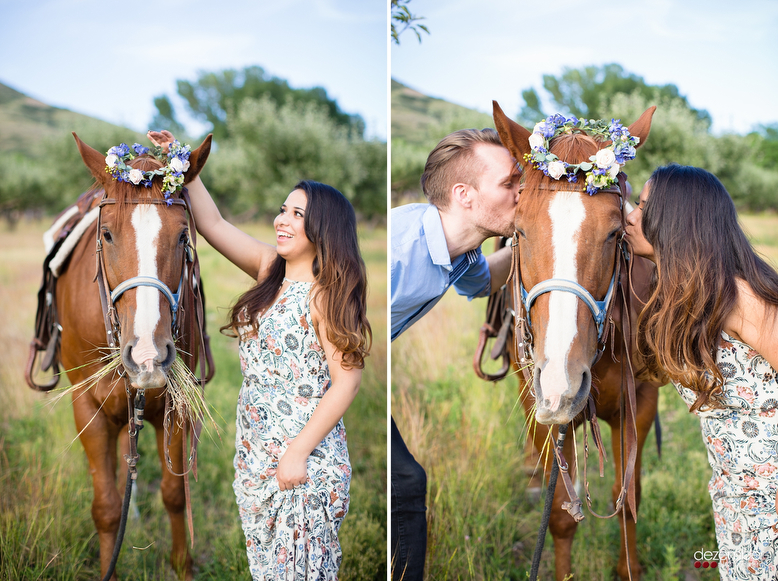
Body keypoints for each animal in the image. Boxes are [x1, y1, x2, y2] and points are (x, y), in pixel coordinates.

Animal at [25, 133, 212, 580]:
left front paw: (182, 565)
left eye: (184, 237)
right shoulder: (86, 407)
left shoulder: (173, 406)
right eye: (107, 234)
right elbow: (108, 508)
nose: (147, 354)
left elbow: (175, 494)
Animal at [488, 102, 664, 576]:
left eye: (616, 233)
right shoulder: (541, 404)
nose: (563, 381)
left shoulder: (639, 404)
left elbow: (628, 499)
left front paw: (628, 568)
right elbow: (561, 515)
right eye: (520, 231)